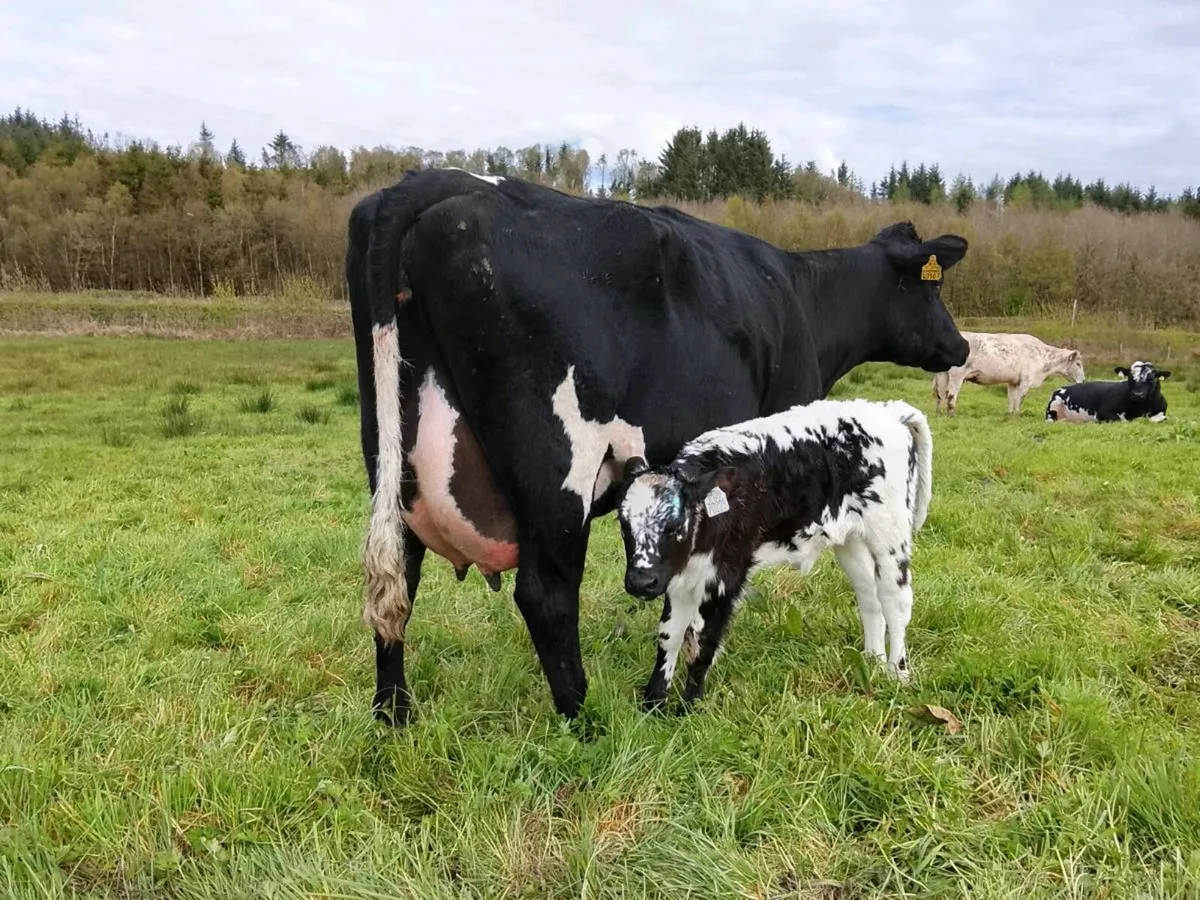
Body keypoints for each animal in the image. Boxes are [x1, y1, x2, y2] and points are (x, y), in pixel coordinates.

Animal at [616, 398, 933, 712]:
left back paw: (897, 673)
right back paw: (871, 660)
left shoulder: (725, 576)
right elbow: (670, 634)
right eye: (623, 523)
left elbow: (701, 642)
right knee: (869, 595)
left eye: (674, 525)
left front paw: (688, 708)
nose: (641, 582)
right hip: (850, 539)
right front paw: (652, 703)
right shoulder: (678, 575)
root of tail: (888, 411)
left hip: (890, 535)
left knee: (895, 602)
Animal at [932, 331, 1085, 416]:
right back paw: (952, 414)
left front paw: (1010, 414)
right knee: (951, 394)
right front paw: (1017, 415)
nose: (1083, 380)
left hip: (943, 374)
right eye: (1078, 364)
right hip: (957, 375)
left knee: (940, 394)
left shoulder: (1013, 382)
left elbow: (1011, 398)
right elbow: (1020, 399)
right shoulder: (1025, 381)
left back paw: (939, 413)